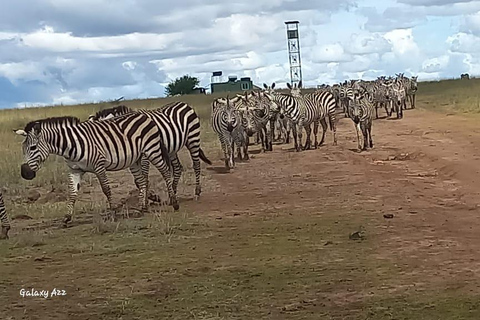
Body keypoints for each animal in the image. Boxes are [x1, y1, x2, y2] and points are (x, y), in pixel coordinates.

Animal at [15, 114, 180, 226]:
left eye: (33, 148)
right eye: (22, 149)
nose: (25, 173)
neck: (71, 145)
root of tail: (143, 115)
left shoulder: (99, 166)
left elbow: (106, 189)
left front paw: (113, 213)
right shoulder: (75, 170)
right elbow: (72, 193)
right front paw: (67, 217)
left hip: (152, 150)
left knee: (165, 171)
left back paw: (174, 203)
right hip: (135, 159)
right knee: (142, 180)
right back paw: (141, 208)